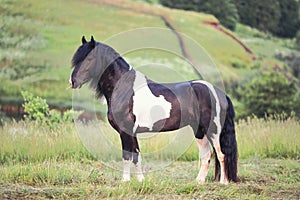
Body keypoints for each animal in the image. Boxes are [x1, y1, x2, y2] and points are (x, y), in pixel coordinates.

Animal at [70, 36, 239, 184]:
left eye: (89, 59)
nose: (73, 81)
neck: (124, 89)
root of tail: (219, 93)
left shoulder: (125, 131)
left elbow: (126, 156)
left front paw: (125, 181)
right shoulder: (133, 132)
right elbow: (136, 155)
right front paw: (140, 180)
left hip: (213, 130)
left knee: (221, 154)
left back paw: (223, 182)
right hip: (199, 130)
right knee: (206, 154)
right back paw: (199, 181)